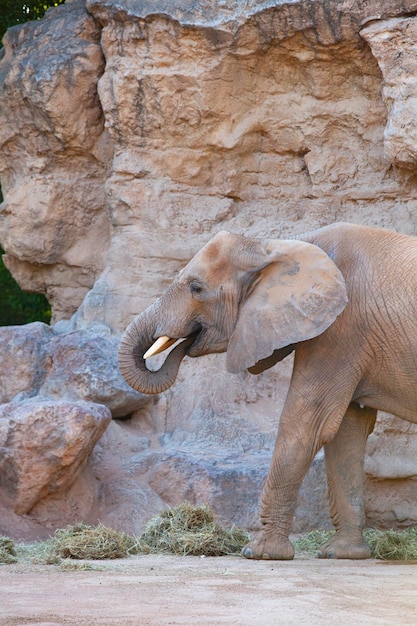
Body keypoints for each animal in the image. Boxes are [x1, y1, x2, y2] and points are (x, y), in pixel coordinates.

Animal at [117, 222, 416, 560]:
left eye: (196, 288)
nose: (183, 342)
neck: (275, 246)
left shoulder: (342, 328)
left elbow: (306, 422)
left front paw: (258, 552)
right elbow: (346, 430)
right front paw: (341, 554)